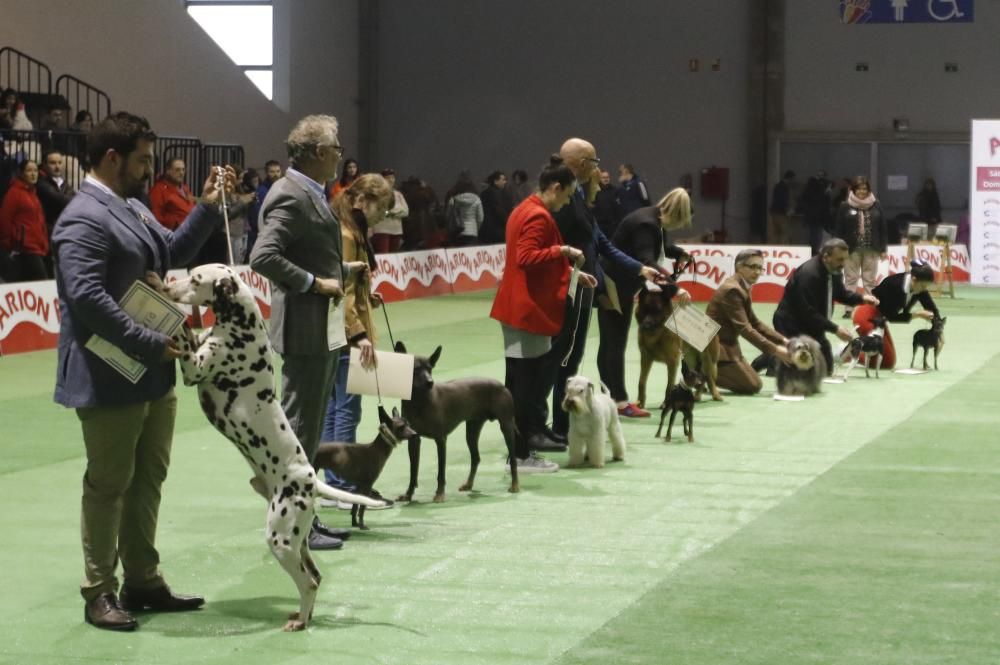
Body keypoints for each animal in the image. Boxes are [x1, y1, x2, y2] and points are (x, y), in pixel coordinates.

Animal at [149, 262, 386, 632]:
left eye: (196, 280)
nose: (170, 286)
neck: (241, 326)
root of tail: (310, 481)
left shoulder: (194, 367)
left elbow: (184, 335)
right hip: (297, 542)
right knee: (315, 576)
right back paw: (303, 615)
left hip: (280, 540)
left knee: (309, 582)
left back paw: (299, 622)